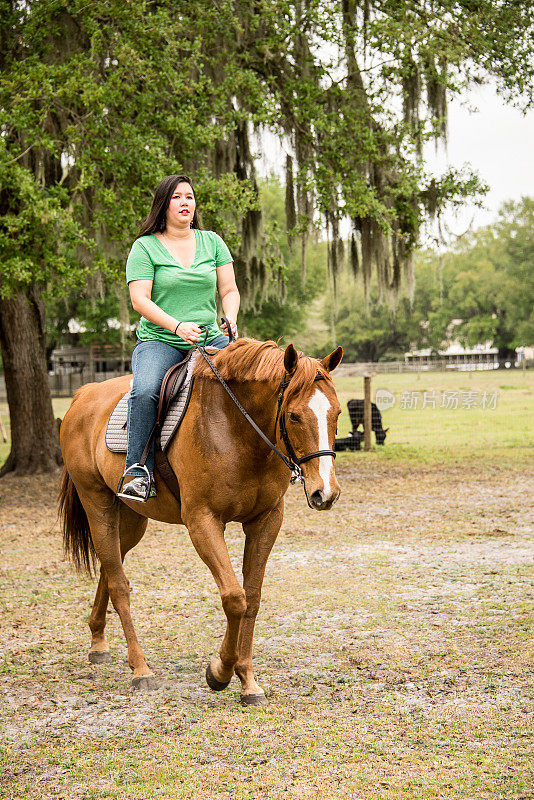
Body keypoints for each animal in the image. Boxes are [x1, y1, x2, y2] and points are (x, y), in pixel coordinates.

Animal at [58, 338, 344, 708]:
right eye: (294, 415)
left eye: (336, 413)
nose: (326, 492)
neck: (236, 428)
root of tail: (84, 394)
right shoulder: (202, 522)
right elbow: (234, 598)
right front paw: (220, 672)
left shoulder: (266, 520)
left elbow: (252, 599)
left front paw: (247, 681)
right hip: (98, 505)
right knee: (119, 584)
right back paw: (140, 669)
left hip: (131, 519)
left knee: (110, 568)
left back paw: (97, 642)